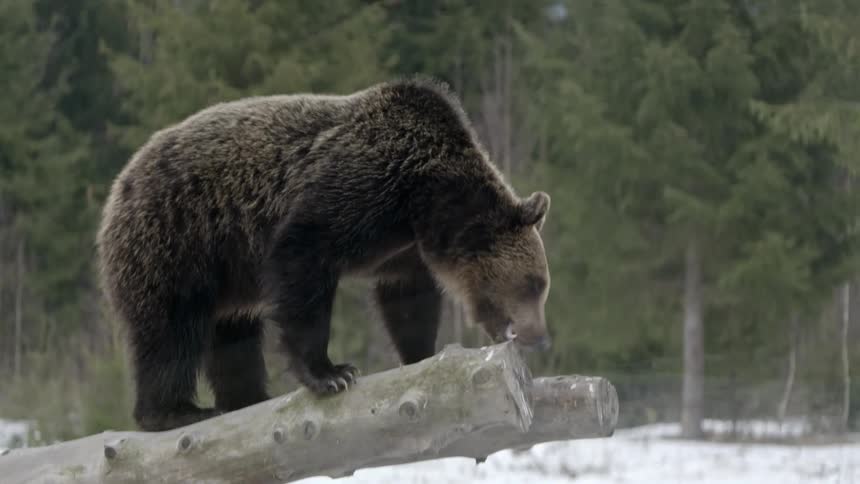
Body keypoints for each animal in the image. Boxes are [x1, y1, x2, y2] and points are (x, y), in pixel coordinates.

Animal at [96, 77, 552, 432]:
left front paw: (421, 355)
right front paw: (331, 373)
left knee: (232, 337)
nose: (539, 336)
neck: (420, 202)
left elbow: (408, 302)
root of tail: (119, 185)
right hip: (180, 241)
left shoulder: (402, 250)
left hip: (227, 276)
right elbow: (303, 261)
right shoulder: (355, 191)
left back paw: (245, 398)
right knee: (170, 330)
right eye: (533, 285)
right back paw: (176, 411)